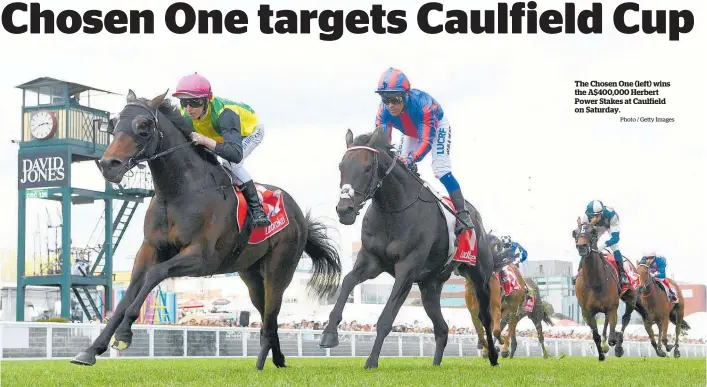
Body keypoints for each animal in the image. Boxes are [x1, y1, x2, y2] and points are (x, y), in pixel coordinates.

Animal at [70, 90, 342, 370]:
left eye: (143, 126)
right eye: (113, 125)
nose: (108, 164)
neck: (178, 194)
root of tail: (299, 215)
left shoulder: (202, 258)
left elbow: (156, 273)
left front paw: (124, 334)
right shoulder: (149, 249)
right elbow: (130, 291)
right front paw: (91, 349)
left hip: (280, 269)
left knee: (271, 313)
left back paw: (261, 363)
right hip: (250, 275)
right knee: (268, 314)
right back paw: (278, 359)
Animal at [320, 128, 498, 370]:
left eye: (367, 167)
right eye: (341, 166)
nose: (344, 210)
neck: (393, 210)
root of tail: (476, 219)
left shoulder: (407, 268)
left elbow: (387, 317)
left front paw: (371, 361)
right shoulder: (371, 261)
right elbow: (347, 281)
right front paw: (329, 333)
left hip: (479, 276)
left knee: (485, 317)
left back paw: (494, 356)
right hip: (430, 285)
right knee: (442, 328)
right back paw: (435, 365)